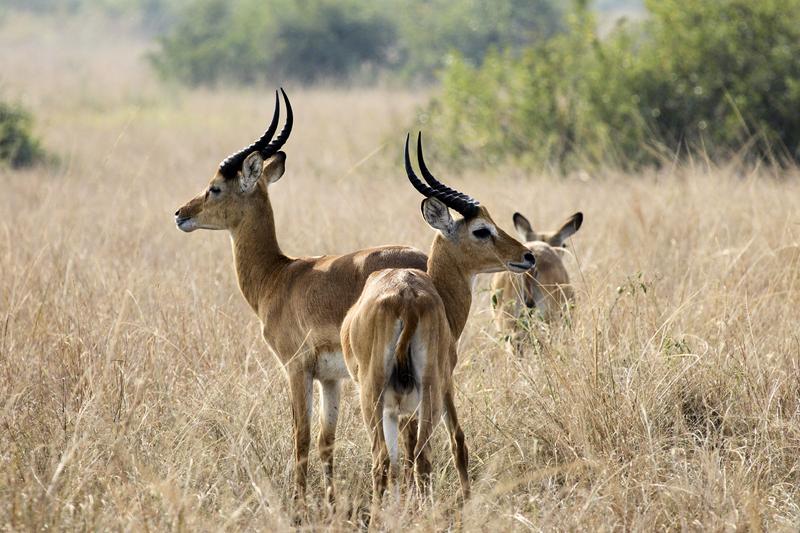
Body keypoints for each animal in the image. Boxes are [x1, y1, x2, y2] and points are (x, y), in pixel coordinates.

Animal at [173, 90, 432, 502]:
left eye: (215, 187)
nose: (181, 213)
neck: (278, 276)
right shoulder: (330, 378)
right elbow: (327, 440)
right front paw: (329, 500)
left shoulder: (296, 368)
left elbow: (302, 437)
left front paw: (298, 501)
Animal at [340, 132, 536, 512]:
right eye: (481, 230)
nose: (527, 255)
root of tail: (405, 297)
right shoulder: (445, 384)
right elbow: (458, 441)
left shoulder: (401, 405)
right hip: (422, 389)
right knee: (415, 457)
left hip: (382, 394)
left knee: (395, 460)